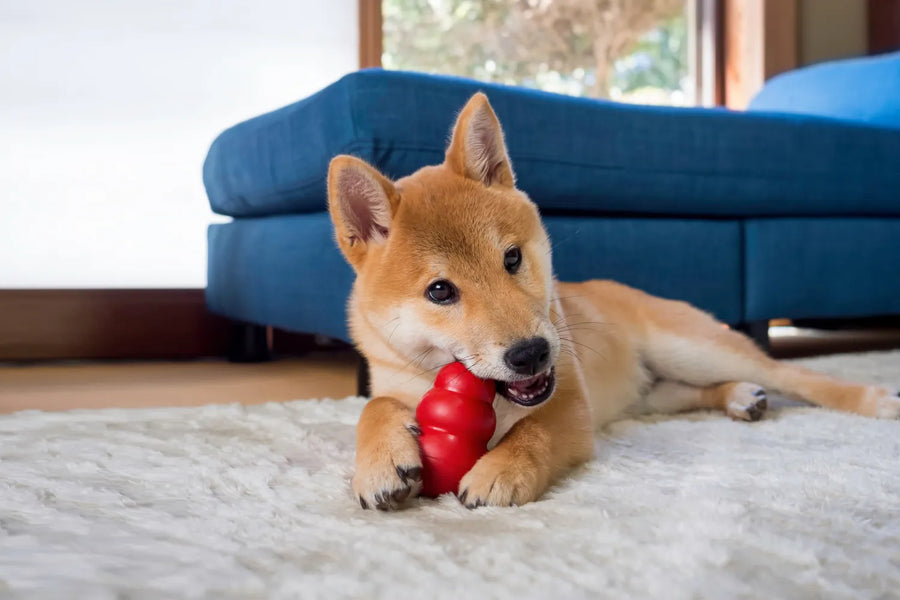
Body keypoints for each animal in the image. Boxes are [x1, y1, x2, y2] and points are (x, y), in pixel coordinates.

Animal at [328, 91, 900, 508]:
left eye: (511, 258)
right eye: (440, 291)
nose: (531, 354)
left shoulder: (570, 406)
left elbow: (533, 433)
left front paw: (500, 469)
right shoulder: (392, 380)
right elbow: (372, 406)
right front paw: (379, 461)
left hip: (691, 348)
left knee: (794, 376)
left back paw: (870, 400)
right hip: (657, 391)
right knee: (703, 391)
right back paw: (741, 397)